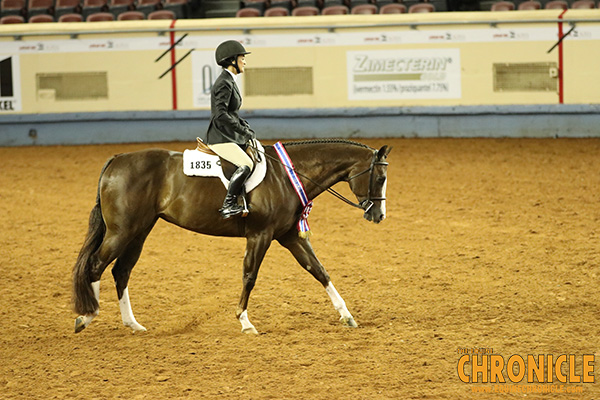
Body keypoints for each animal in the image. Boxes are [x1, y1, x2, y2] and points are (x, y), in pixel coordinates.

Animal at [72, 139, 392, 332]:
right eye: (380, 178)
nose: (378, 216)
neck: (288, 175)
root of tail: (117, 159)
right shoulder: (260, 235)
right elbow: (249, 276)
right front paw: (245, 321)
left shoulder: (289, 236)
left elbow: (319, 270)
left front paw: (346, 315)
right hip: (121, 230)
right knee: (96, 265)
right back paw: (87, 316)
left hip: (139, 231)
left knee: (121, 270)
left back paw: (132, 323)